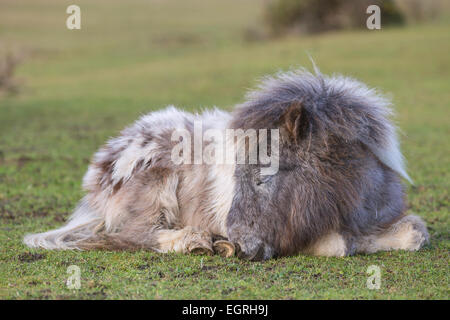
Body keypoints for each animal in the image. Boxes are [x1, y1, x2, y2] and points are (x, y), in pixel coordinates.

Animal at [23, 69, 428, 260]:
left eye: (267, 176)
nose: (243, 246)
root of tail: (102, 169)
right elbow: (340, 244)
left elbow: (414, 235)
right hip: (157, 184)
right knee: (136, 234)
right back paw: (197, 241)